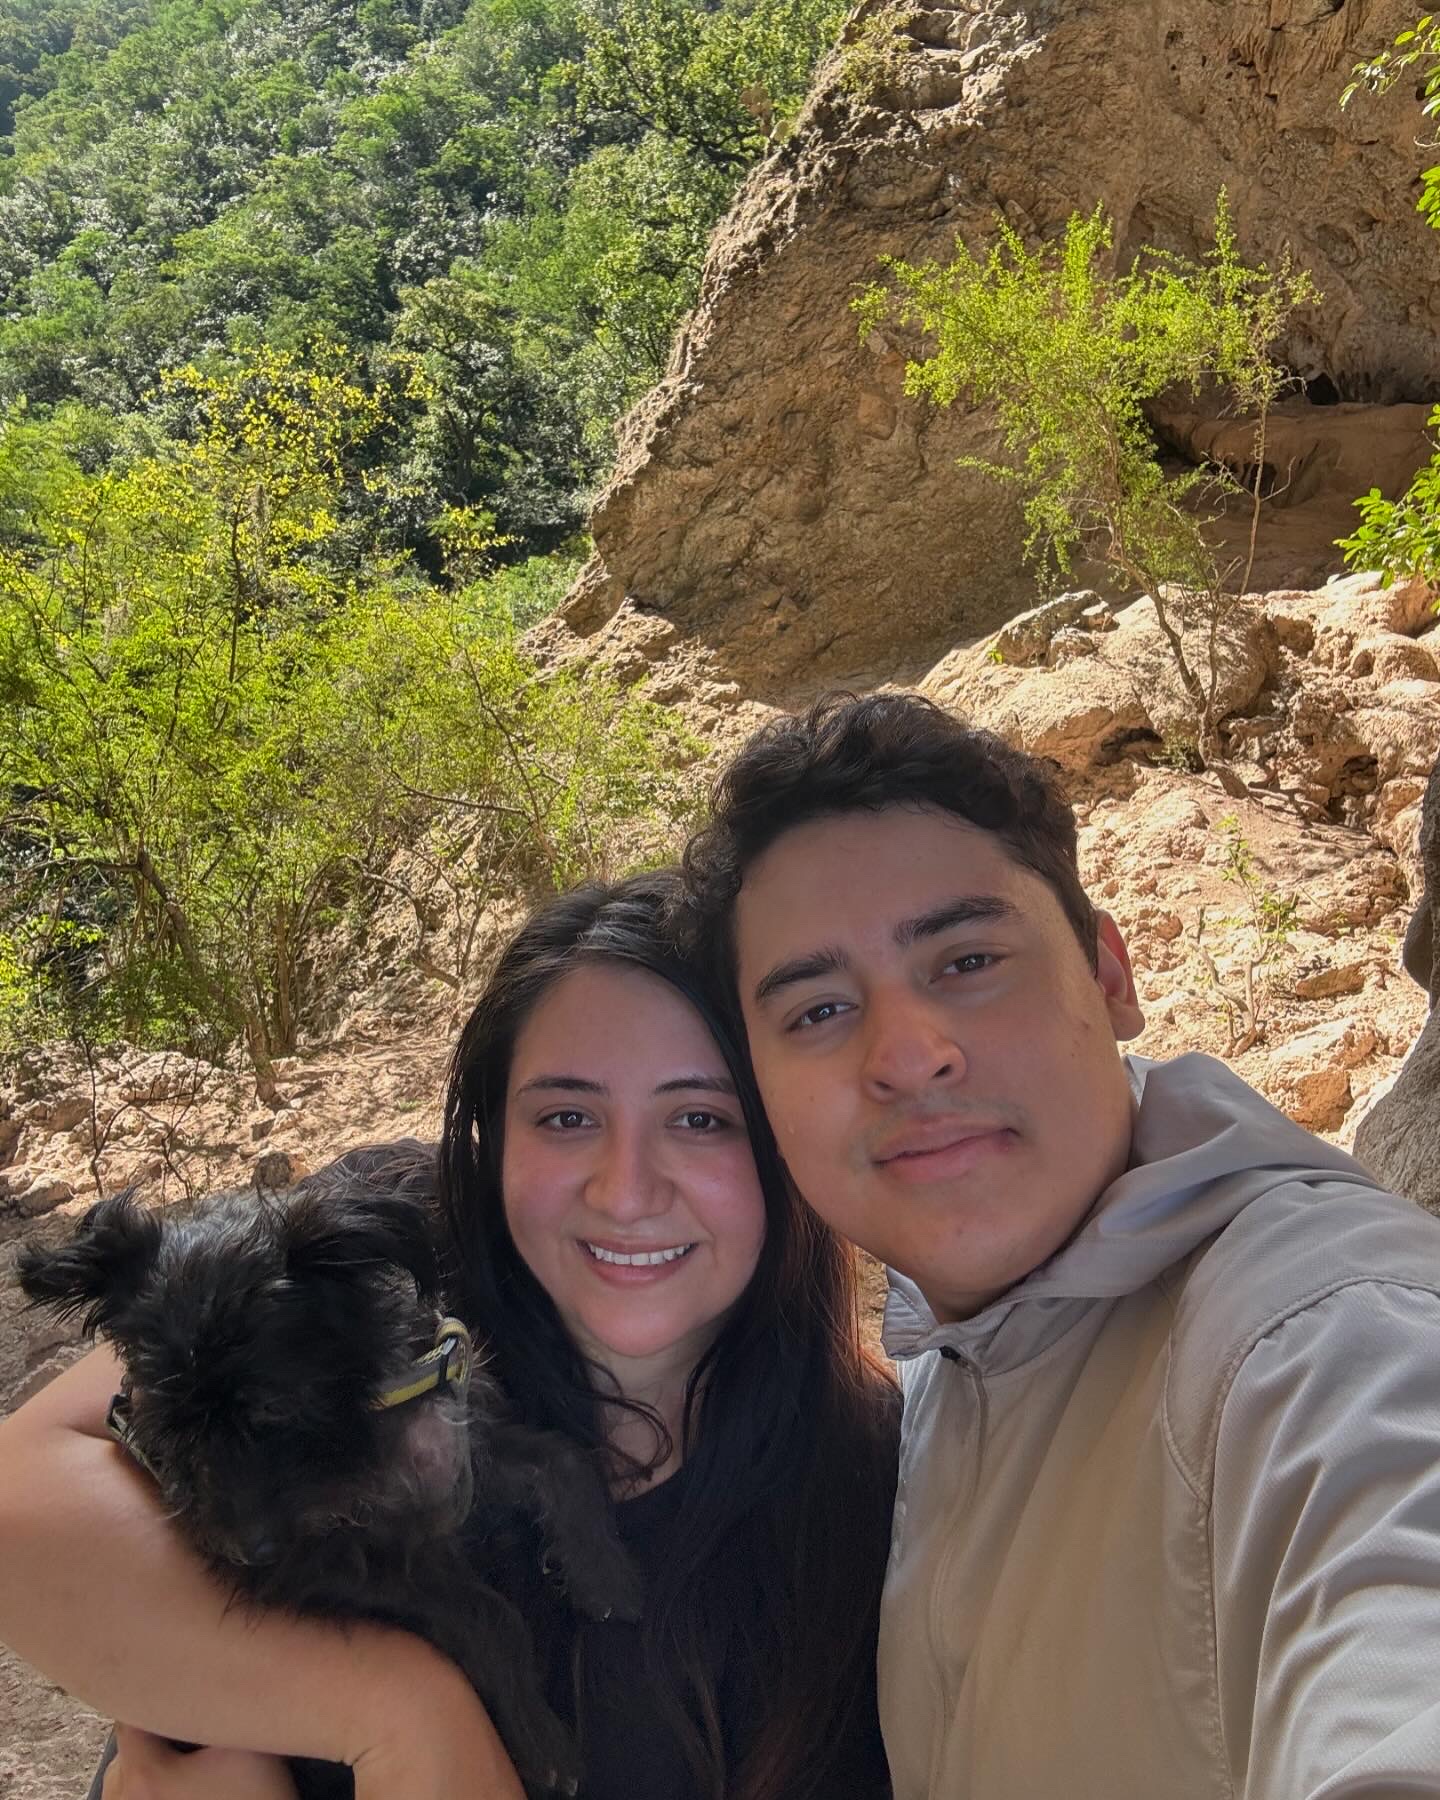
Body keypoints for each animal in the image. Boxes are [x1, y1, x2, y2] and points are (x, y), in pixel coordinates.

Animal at [16, 1143, 642, 1799]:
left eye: (275, 1411)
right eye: (166, 1430)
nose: (246, 1553)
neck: (362, 1418)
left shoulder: (468, 1457)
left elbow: (563, 1461)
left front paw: (605, 1575)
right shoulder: (332, 1565)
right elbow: (486, 1613)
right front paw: (541, 1740)